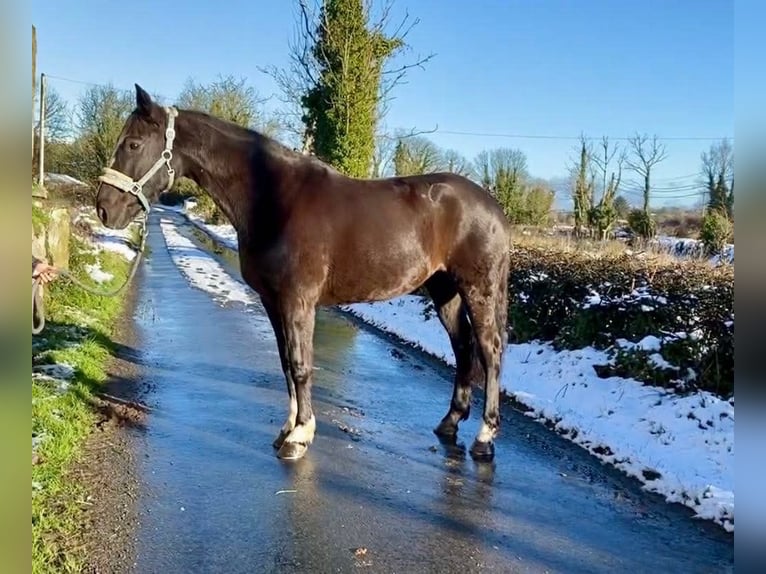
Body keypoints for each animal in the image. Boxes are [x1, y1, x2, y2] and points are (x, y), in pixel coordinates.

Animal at [97, 84, 516, 464]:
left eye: (133, 144)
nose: (103, 208)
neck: (274, 198)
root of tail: (492, 205)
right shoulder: (272, 301)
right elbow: (285, 363)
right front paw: (288, 428)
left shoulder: (297, 301)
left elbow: (301, 365)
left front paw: (299, 437)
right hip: (444, 290)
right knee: (463, 348)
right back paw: (449, 423)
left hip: (479, 289)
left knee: (490, 351)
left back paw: (484, 439)